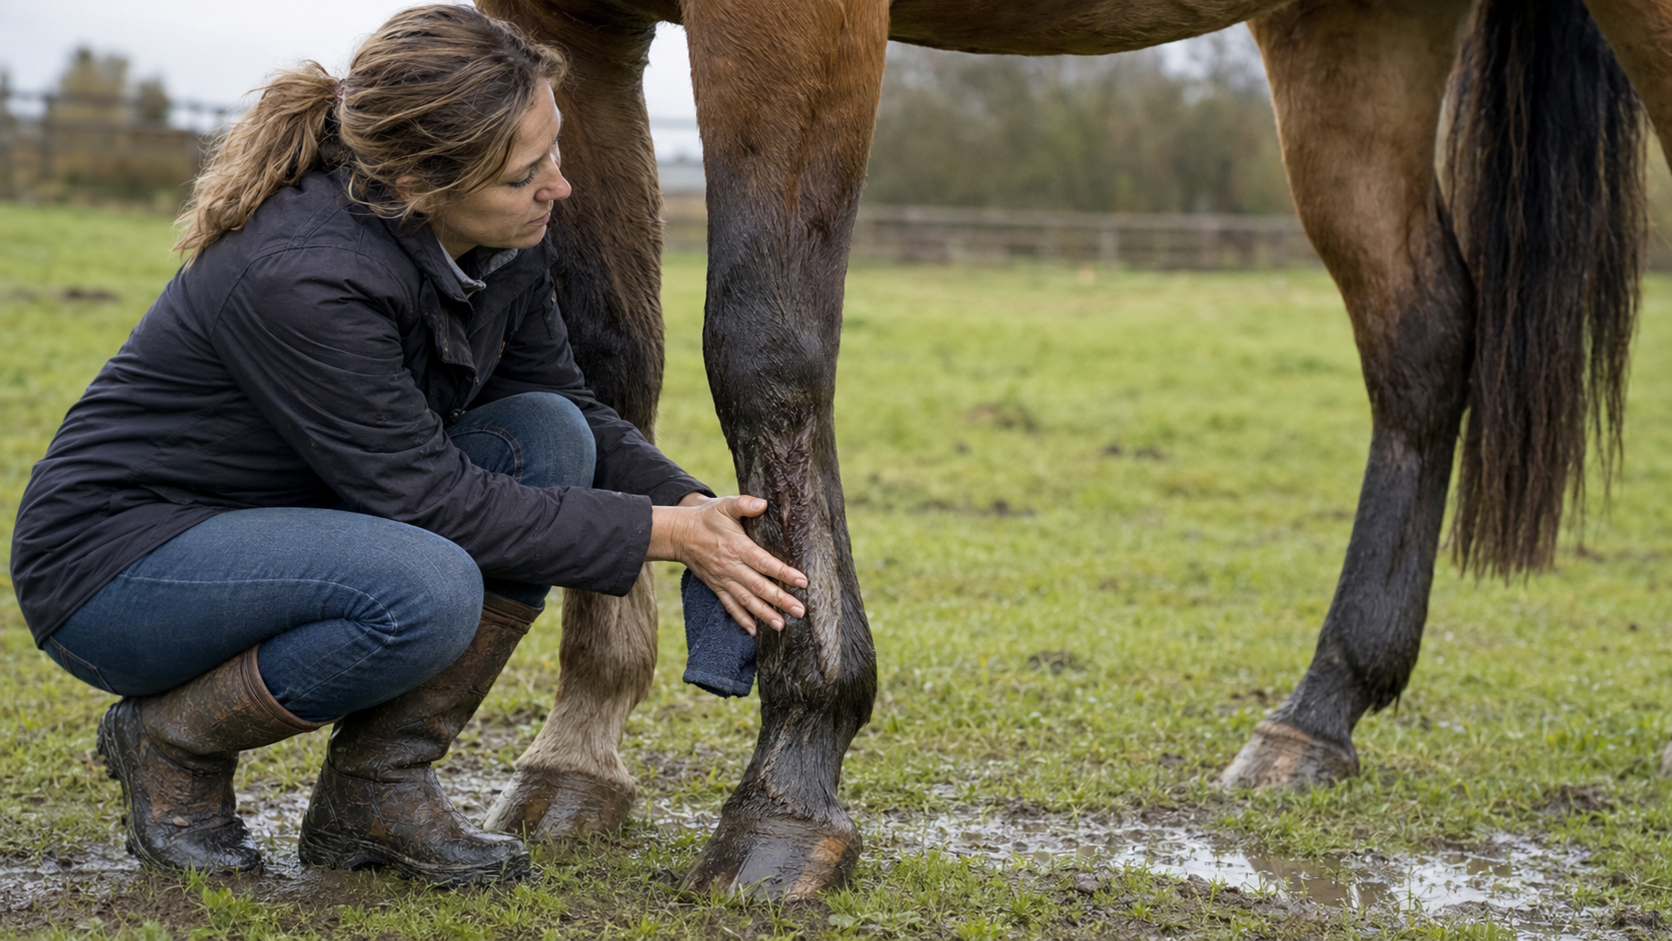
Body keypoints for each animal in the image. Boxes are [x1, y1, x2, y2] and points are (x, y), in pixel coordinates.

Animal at [468, 0, 1669, 899]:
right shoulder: (570, 20)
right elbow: (600, 359)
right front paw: (580, 746)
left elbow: (763, 343)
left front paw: (793, 770)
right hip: (1352, 41)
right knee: (1420, 338)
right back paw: (1321, 710)